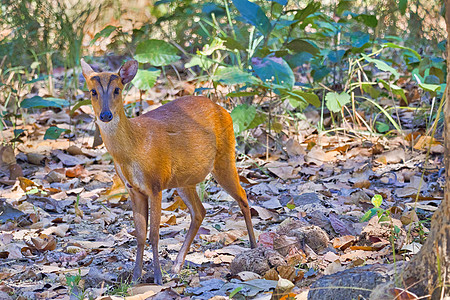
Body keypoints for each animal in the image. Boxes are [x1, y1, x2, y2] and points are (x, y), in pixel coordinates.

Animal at [81, 58, 256, 284]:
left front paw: (157, 277)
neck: (134, 148)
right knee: (199, 211)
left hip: (224, 156)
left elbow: (154, 234)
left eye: (117, 90)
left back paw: (254, 247)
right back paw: (176, 265)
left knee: (243, 196)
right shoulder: (133, 189)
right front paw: (136, 276)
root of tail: (224, 111)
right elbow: (140, 234)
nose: (105, 115)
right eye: (93, 91)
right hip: (185, 179)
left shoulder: (155, 183)